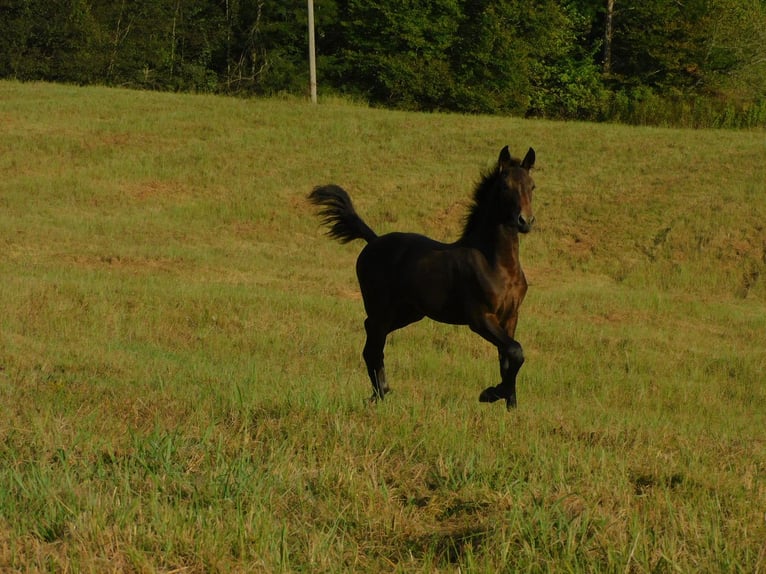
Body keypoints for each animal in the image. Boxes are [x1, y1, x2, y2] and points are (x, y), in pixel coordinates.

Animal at [308, 145, 536, 410]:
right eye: (505, 186)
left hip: (408, 313)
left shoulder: (510, 317)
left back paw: (381, 391)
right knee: (372, 347)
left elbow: (508, 358)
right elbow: (515, 351)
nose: (525, 221)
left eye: (532, 186)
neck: (494, 262)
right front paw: (489, 394)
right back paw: (380, 394)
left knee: (372, 337)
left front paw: (510, 405)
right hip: (382, 310)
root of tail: (373, 240)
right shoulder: (480, 318)